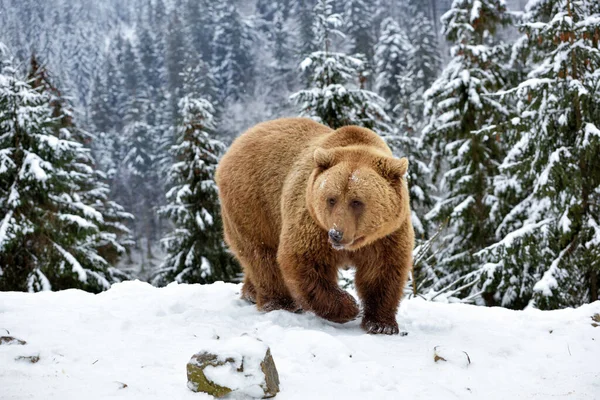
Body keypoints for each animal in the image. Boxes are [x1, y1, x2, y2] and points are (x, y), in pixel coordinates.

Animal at [217, 116, 418, 334]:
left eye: (357, 201)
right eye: (331, 199)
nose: (336, 233)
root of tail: (240, 139)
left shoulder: (387, 234)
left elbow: (382, 270)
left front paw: (381, 324)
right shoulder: (313, 222)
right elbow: (304, 261)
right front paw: (349, 307)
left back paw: (251, 293)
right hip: (253, 203)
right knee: (262, 255)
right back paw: (281, 303)